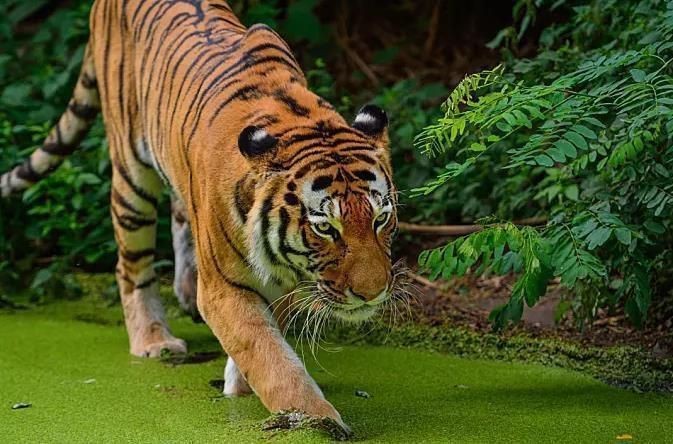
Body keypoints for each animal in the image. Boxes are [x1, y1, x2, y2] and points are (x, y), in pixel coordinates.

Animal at [0, 0, 402, 433]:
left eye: (380, 219)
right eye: (325, 228)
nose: (372, 293)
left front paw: (241, 386)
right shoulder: (223, 289)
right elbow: (269, 356)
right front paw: (317, 421)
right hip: (130, 178)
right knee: (131, 265)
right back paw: (154, 341)